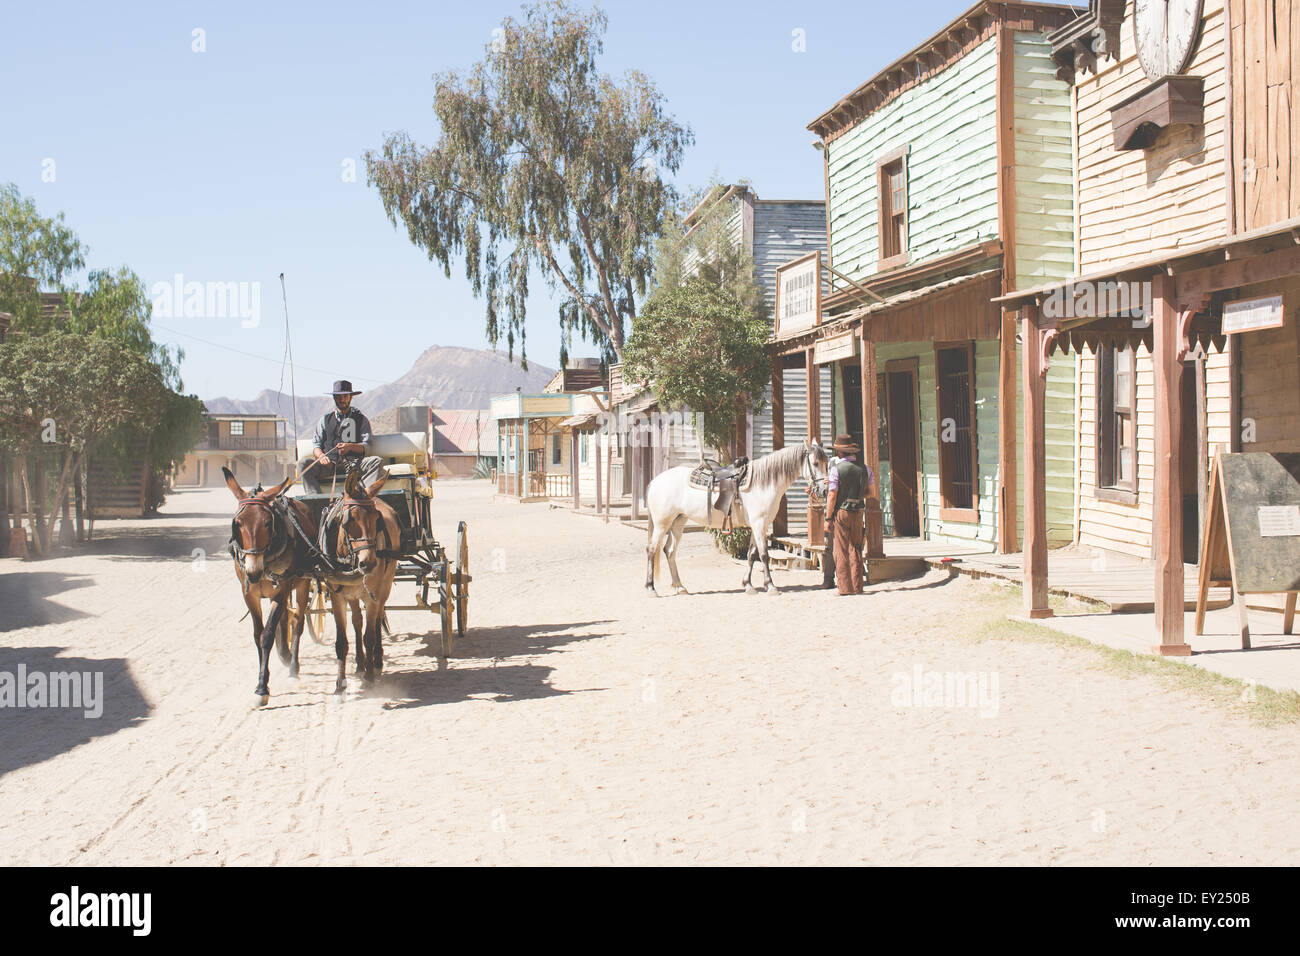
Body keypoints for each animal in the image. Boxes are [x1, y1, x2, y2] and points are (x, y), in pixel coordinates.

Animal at [644, 437, 826, 595]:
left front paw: (748, 585)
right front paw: (771, 586)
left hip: (678, 522)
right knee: (652, 550)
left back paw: (680, 587)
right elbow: (764, 555)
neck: (764, 483)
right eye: (815, 463)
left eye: (826, 462)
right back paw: (651, 588)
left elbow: (752, 555)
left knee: (669, 551)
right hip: (662, 524)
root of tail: (655, 481)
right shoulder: (759, 524)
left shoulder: (759, 526)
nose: (824, 490)